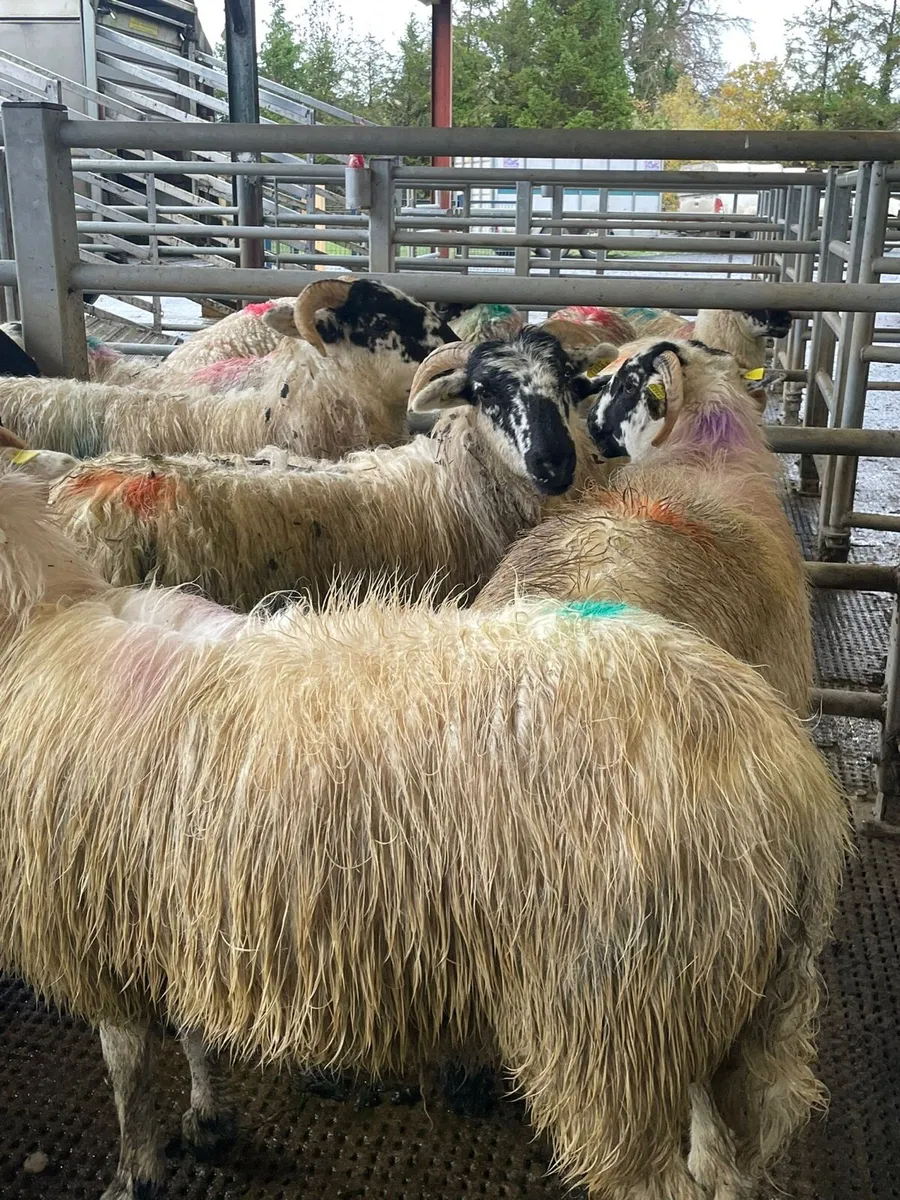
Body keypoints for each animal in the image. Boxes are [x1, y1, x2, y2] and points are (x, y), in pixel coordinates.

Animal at [0, 468, 849, 1200]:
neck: (41, 624)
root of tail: (793, 782)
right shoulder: (161, 908)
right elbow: (187, 1028)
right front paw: (206, 1119)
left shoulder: (88, 922)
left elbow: (126, 1064)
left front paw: (133, 1170)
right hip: (712, 998)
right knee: (723, 1158)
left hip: (615, 1021)